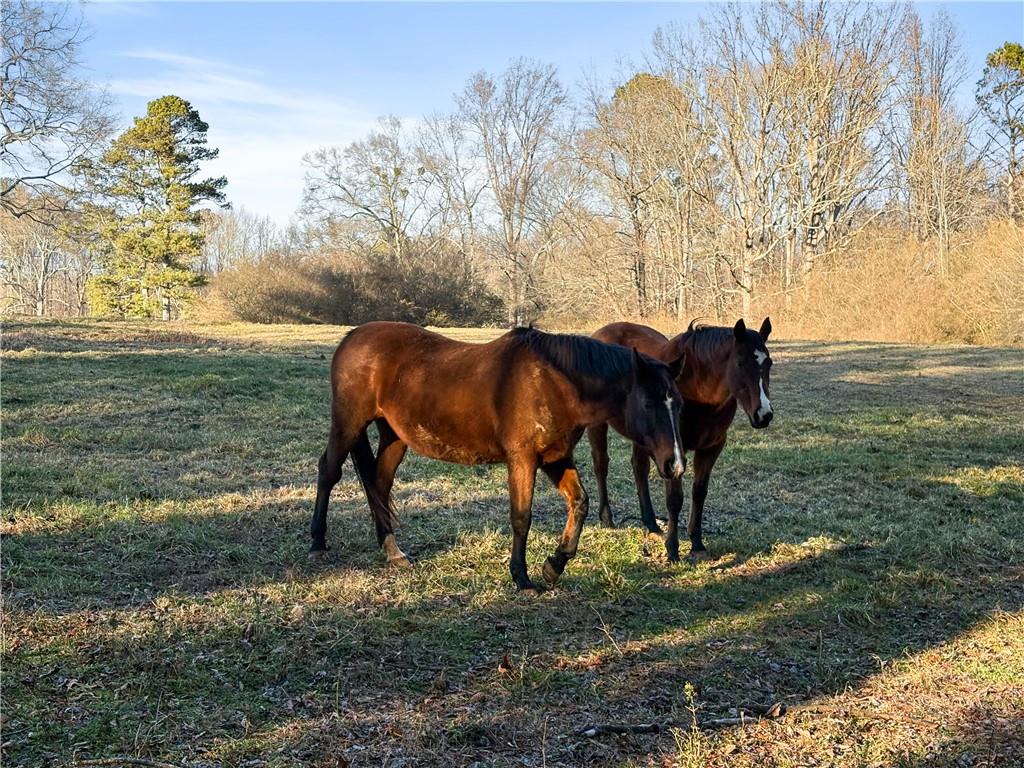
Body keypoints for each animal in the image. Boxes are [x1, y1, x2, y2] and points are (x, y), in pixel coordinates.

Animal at [307, 321, 684, 593]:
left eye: (677, 403)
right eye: (648, 402)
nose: (675, 464)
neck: (553, 382)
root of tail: (352, 336)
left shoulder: (555, 458)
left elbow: (580, 503)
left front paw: (554, 565)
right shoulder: (523, 460)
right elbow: (521, 517)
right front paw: (522, 577)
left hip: (394, 436)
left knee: (380, 485)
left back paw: (392, 550)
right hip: (348, 423)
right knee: (329, 471)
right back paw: (317, 541)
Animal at [589, 319, 770, 565]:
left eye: (769, 363)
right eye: (741, 362)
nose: (764, 415)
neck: (697, 392)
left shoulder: (711, 448)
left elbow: (699, 493)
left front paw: (697, 544)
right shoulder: (673, 450)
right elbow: (675, 499)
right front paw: (673, 550)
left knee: (639, 468)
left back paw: (652, 525)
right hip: (598, 426)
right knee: (601, 465)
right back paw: (607, 518)